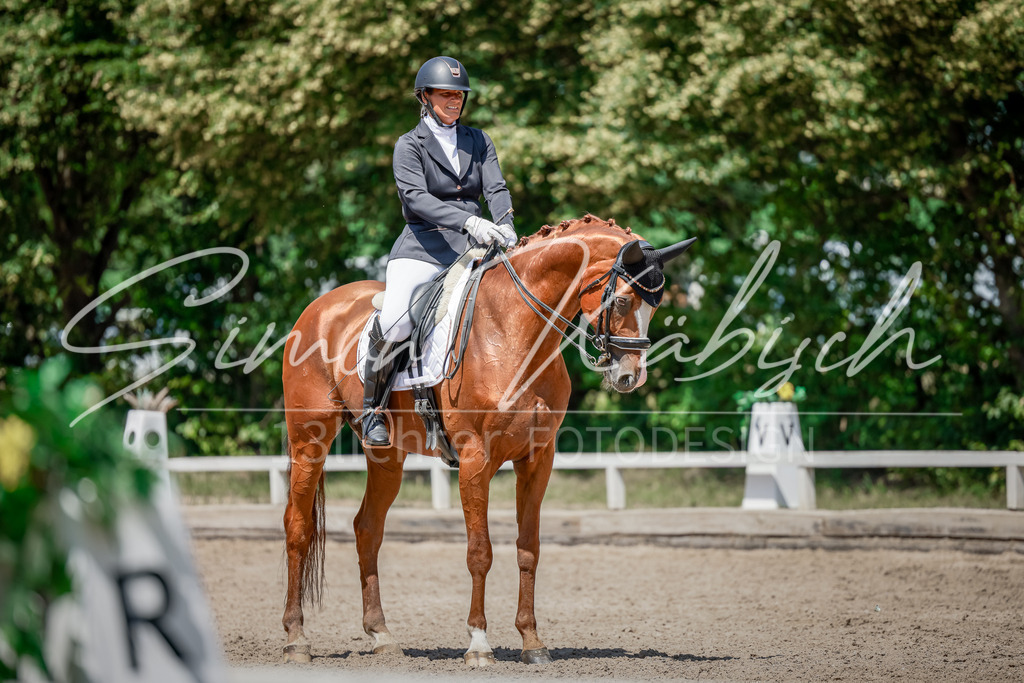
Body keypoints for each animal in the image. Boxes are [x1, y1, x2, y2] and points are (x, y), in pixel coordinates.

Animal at [279, 214, 694, 666]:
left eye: (655, 305)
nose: (629, 377)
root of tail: (319, 306)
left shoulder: (537, 459)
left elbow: (528, 549)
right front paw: (478, 643)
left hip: (386, 455)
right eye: (620, 301)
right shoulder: (475, 459)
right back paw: (296, 638)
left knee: (367, 529)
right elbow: (480, 552)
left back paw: (382, 636)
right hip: (310, 442)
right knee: (297, 527)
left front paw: (532, 642)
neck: (513, 330)